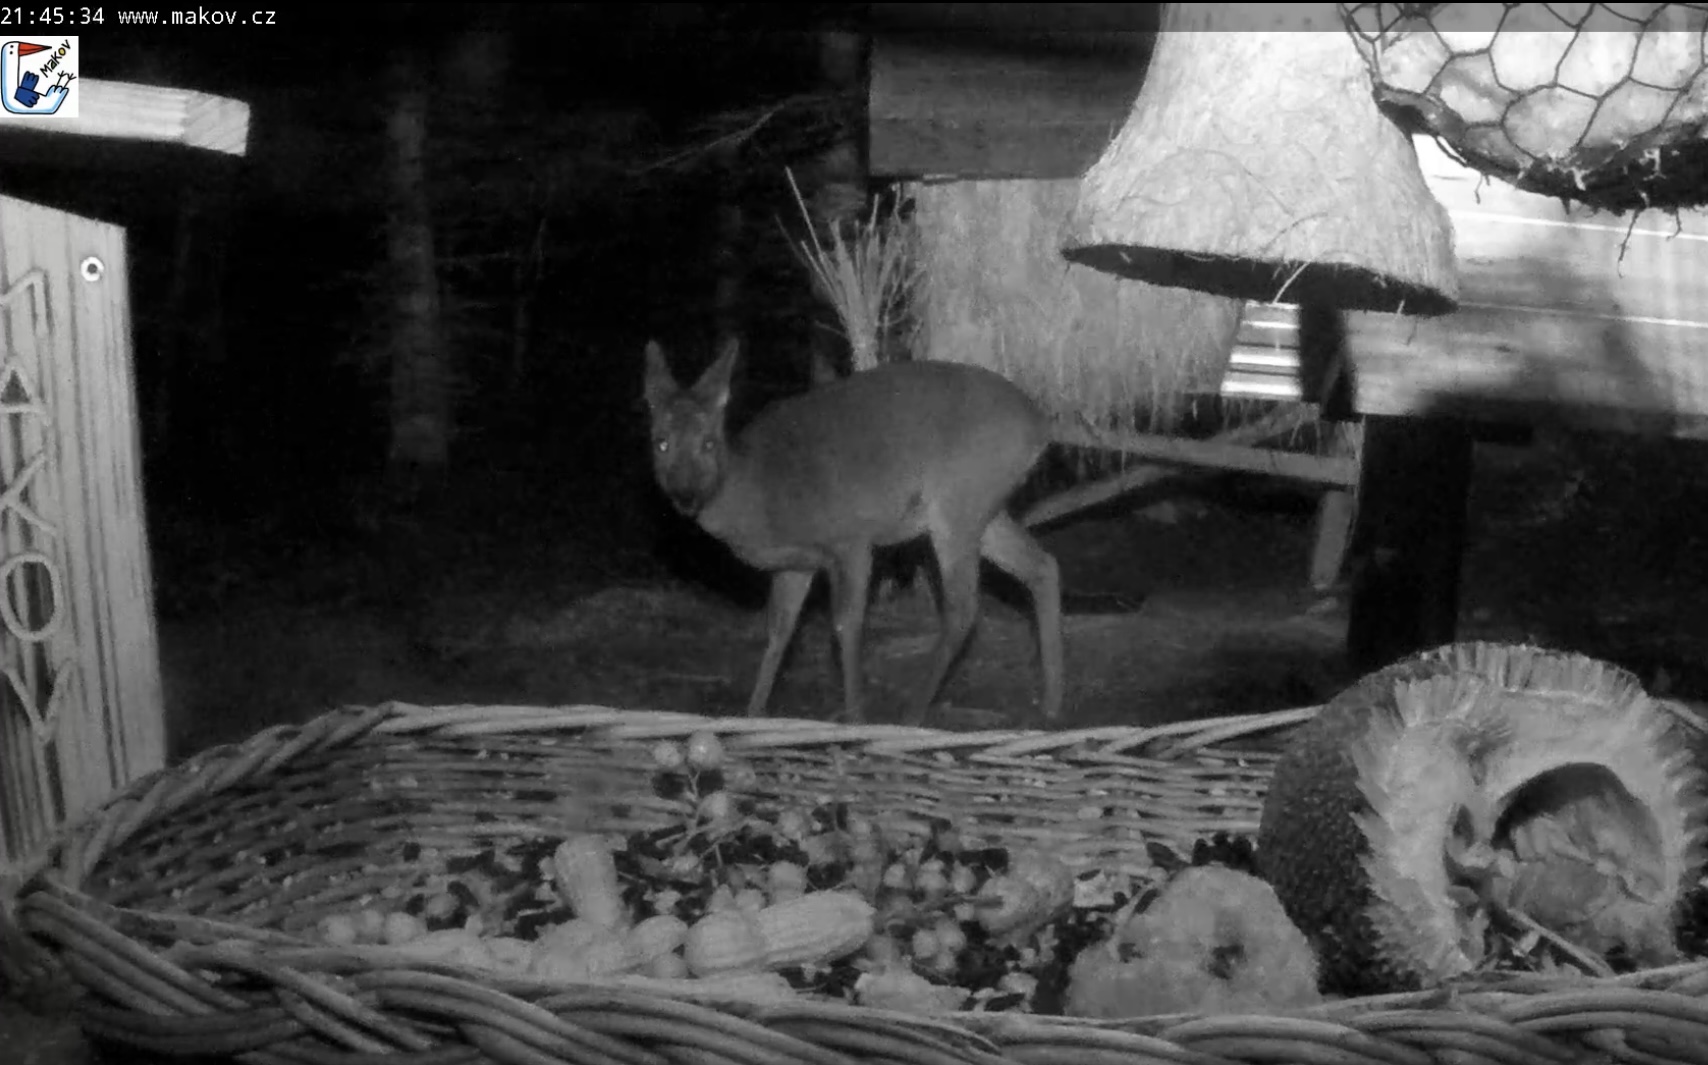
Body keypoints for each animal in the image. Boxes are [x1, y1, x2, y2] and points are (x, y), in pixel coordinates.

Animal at [643, 337, 1063, 728]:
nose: (685, 495)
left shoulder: (851, 539)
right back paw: (1050, 703)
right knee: (1043, 565)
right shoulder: (795, 563)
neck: (759, 492)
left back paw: (912, 714)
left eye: (708, 442)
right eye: (660, 443)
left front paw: (855, 717)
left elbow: (846, 625)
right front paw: (753, 714)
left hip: (959, 498)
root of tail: (1040, 425)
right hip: (981, 505)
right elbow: (779, 629)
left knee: (963, 606)